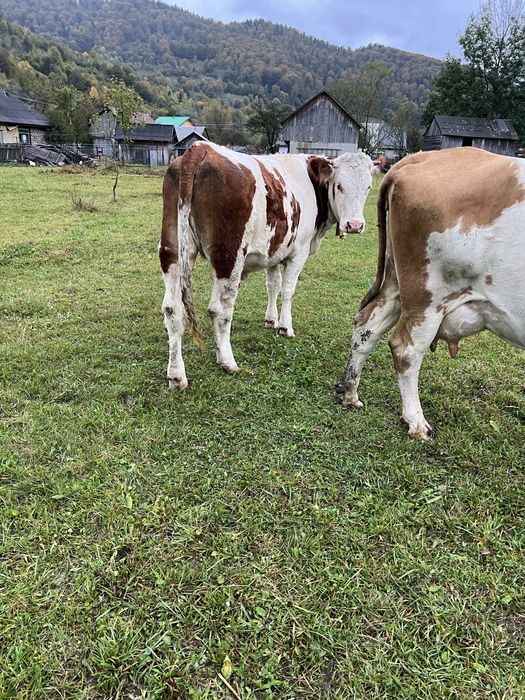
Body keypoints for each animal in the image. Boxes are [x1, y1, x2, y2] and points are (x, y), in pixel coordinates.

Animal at [160, 142, 383, 389]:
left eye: (368, 187)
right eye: (339, 186)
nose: (355, 225)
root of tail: (201, 148)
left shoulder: (273, 252)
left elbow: (273, 285)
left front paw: (270, 319)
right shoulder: (298, 252)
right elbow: (287, 290)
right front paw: (285, 326)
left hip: (173, 251)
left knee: (172, 309)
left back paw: (176, 375)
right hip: (229, 256)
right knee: (220, 310)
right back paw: (227, 360)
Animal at [336, 146, 525, 438]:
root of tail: (423, 156)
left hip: (397, 284)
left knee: (367, 328)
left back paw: (350, 394)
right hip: (428, 295)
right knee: (405, 350)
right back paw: (415, 421)